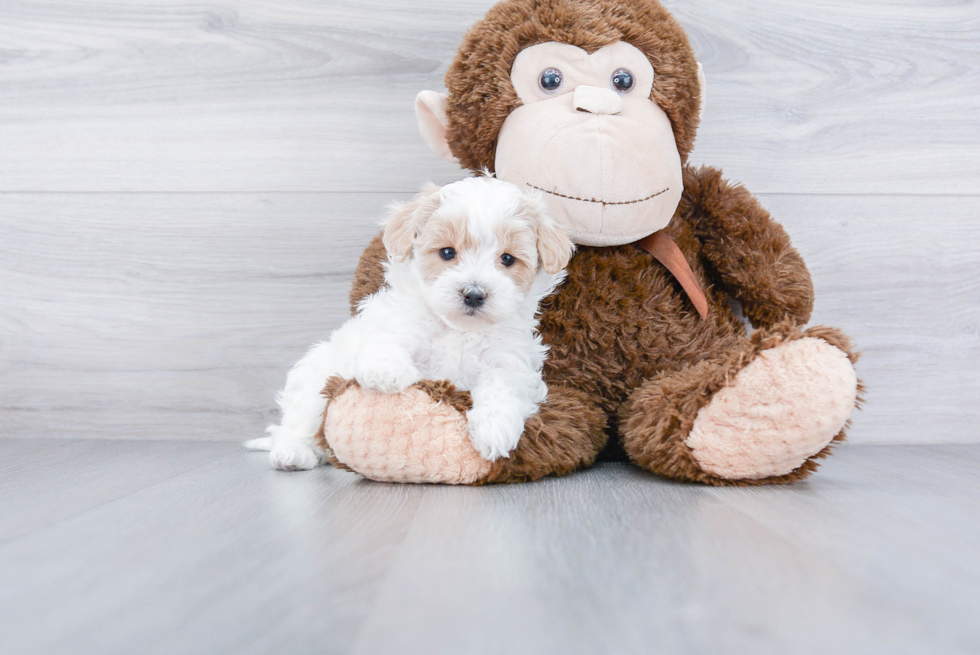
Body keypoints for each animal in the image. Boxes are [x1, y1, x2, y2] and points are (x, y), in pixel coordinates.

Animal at [245, 176, 580, 472]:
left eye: (508, 259)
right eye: (447, 252)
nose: (473, 294)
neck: (458, 330)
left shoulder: (510, 361)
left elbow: (502, 384)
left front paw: (495, 429)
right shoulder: (395, 321)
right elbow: (387, 340)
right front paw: (386, 372)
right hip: (314, 380)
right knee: (297, 423)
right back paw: (293, 452)